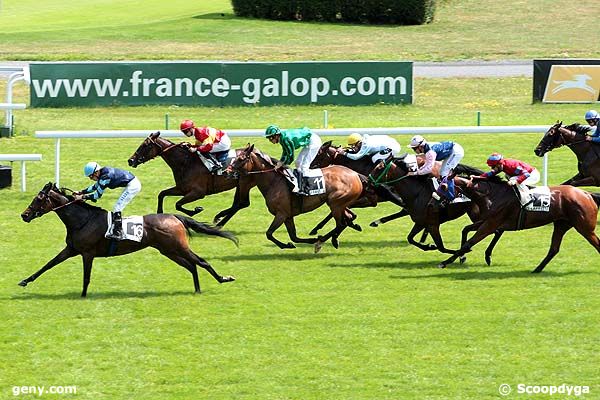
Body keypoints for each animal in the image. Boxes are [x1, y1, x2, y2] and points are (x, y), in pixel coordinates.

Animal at [19, 183, 234, 296]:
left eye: (39, 199)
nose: (24, 215)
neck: (82, 220)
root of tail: (174, 216)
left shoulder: (87, 253)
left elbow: (86, 276)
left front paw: (82, 295)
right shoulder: (71, 250)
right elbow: (48, 265)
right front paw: (25, 281)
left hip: (178, 247)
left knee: (201, 261)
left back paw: (224, 278)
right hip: (169, 250)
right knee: (191, 265)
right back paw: (197, 289)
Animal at [227, 144, 366, 250]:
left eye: (241, 159)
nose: (227, 172)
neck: (274, 182)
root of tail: (355, 174)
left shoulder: (281, 213)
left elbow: (269, 233)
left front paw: (287, 245)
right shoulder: (288, 215)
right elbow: (293, 237)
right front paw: (292, 244)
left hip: (335, 203)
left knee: (341, 223)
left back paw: (321, 241)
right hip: (339, 204)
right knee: (347, 219)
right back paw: (334, 237)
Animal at [368, 156, 504, 262]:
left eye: (379, 168)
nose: (368, 181)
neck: (417, 193)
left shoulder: (433, 224)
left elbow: (441, 247)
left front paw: (461, 255)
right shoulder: (420, 222)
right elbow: (410, 238)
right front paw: (429, 246)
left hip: (477, 214)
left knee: (496, 230)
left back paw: (487, 255)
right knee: (496, 230)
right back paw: (487, 255)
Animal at [436, 177, 600, 272]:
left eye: (443, 186)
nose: (434, 200)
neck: (492, 194)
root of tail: (587, 194)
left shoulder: (491, 223)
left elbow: (469, 242)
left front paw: (445, 262)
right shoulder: (488, 221)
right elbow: (465, 230)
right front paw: (462, 257)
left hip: (584, 227)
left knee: (596, 244)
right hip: (561, 224)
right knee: (554, 249)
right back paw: (537, 269)